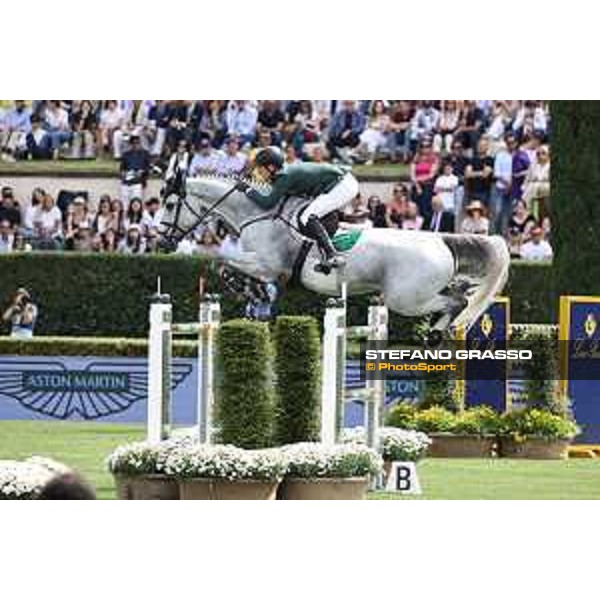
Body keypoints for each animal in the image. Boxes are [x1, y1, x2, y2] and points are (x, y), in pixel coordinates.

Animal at [157, 172, 508, 338]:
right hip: (419, 293)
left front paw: (249, 288)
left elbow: (221, 261)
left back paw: (436, 333)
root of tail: (441, 241)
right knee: (458, 295)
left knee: (456, 302)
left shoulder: (269, 266)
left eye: (171, 205)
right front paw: (254, 293)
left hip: (405, 299)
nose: (161, 242)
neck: (256, 213)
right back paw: (439, 330)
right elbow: (224, 264)